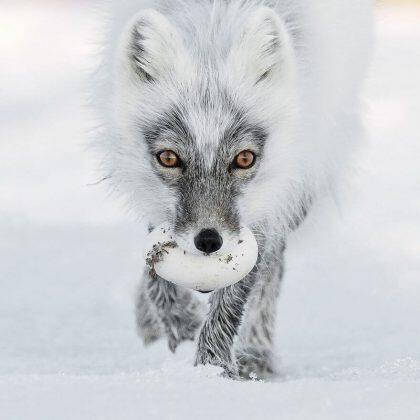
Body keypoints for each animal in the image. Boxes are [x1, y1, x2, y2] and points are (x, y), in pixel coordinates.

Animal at [94, 0, 370, 378]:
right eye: (168, 157)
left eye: (244, 158)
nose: (209, 241)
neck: (211, 31)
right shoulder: (156, 202)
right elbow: (156, 272)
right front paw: (179, 322)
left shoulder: (267, 207)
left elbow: (236, 296)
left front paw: (212, 370)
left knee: (272, 271)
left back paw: (256, 353)